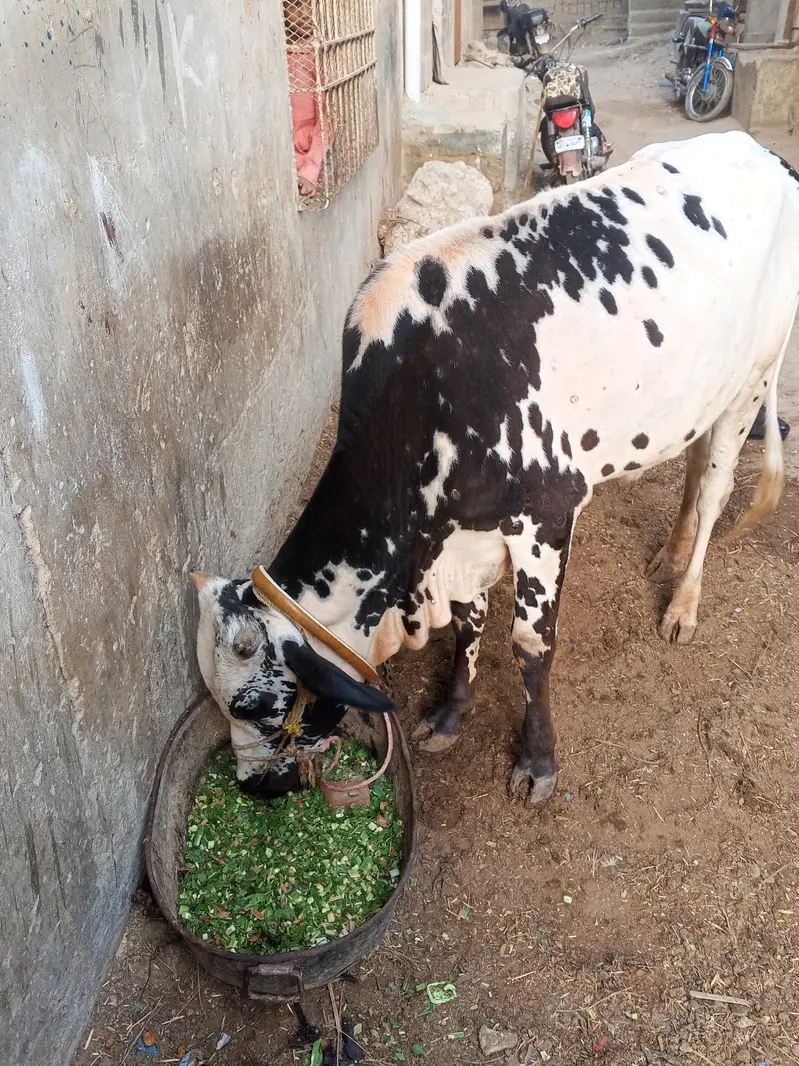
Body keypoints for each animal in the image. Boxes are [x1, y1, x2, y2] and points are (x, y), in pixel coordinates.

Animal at [192, 132, 799, 805]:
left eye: (253, 707)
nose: (254, 787)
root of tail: (760, 150)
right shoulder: (464, 535)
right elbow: (466, 623)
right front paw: (450, 716)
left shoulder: (547, 514)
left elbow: (531, 646)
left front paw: (538, 760)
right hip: (702, 394)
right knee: (692, 465)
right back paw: (668, 553)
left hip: (754, 379)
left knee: (716, 487)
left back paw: (683, 603)